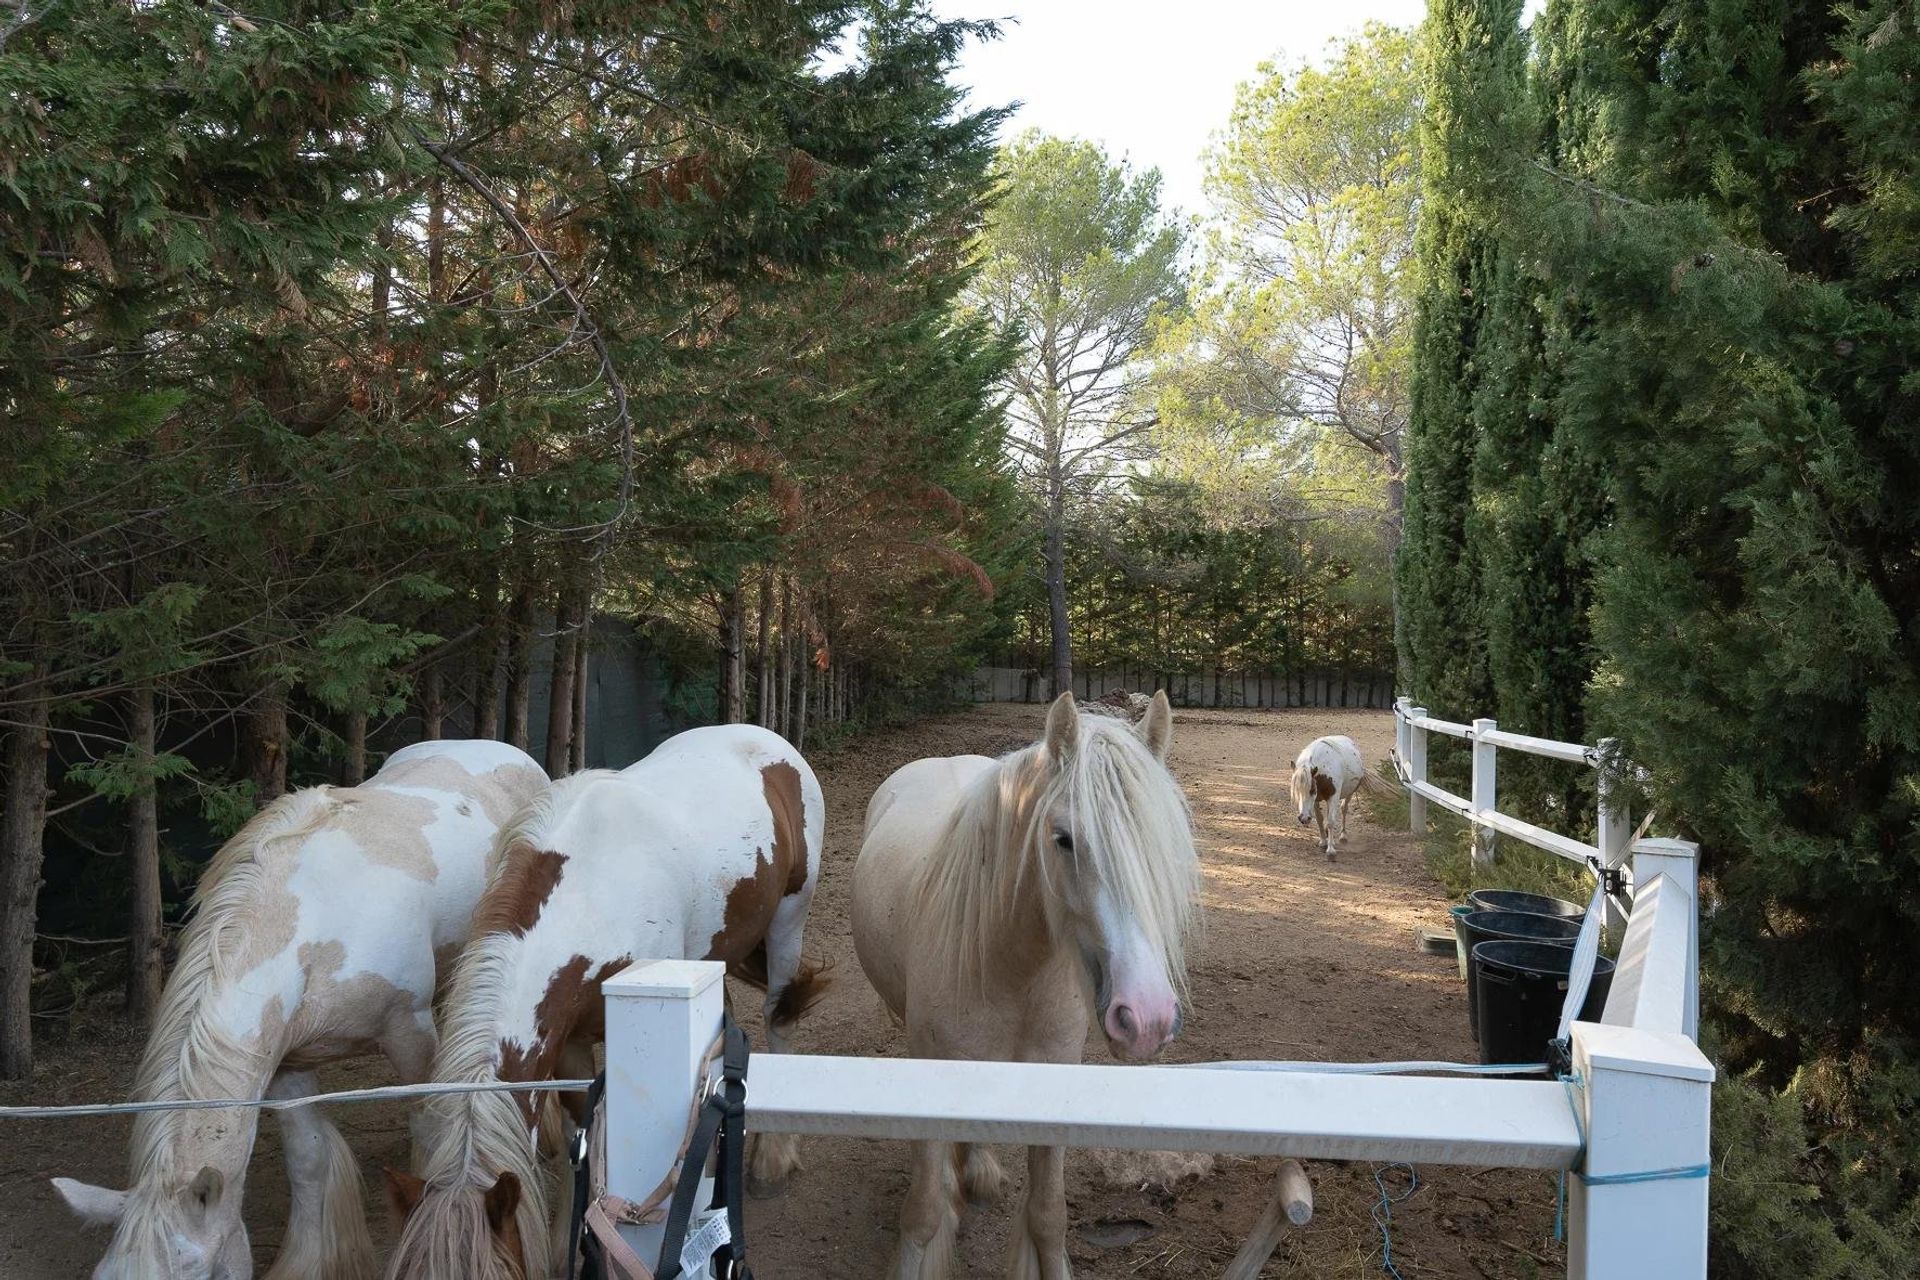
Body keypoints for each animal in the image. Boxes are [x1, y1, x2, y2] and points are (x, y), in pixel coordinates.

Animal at [52, 740, 549, 1280]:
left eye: (198, 1272)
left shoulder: (409, 1031)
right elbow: (307, 1160)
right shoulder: (284, 1062)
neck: (314, 927)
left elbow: (429, 1129)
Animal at [382, 725, 825, 1280]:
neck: (589, 897)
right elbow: (581, 1133)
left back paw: (772, 1160)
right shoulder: (565, 1039)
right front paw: (563, 1245)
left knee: (777, 1019)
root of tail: (768, 739)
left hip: (789, 920)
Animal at [856, 694, 1198, 1280]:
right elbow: (922, 1215)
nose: (1146, 1017)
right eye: (1063, 839)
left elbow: (1047, 1216)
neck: (1013, 969)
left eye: (1162, 843)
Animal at [1290, 729, 1382, 859]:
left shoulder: (1332, 797)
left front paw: (1330, 851)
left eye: (1312, 790)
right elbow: (1320, 819)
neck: (1324, 769)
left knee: (1343, 809)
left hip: (1348, 794)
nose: (1303, 818)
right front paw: (1324, 842)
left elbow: (1330, 821)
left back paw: (1343, 836)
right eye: (1297, 791)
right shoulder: (1316, 800)